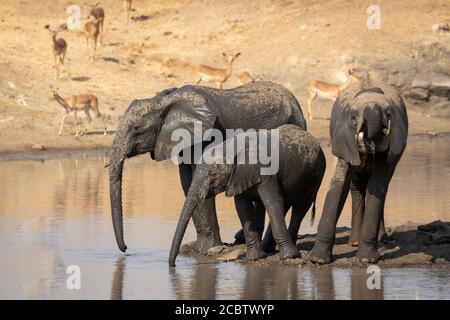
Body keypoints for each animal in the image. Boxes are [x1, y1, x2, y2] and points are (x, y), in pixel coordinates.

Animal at [109, 81, 308, 254]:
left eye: (136, 128)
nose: (125, 249)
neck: (164, 101)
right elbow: (187, 182)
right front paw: (198, 248)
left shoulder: (210, 132)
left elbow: (200, 180)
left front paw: (207, 250)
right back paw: (242, 238)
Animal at [168, 125, 324, 268]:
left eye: (212, 174)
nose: (173, 266)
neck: (232, 148)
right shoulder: (238, 177)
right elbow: (243, 208)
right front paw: (254, 258)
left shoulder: (266, 172)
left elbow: (273, 202)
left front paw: (288, 257)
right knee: (285, 206)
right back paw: (268, 248)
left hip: (316, 173)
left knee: (300, 207)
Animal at [310, 80, 408, 264]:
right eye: (354, 118)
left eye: (388, 114)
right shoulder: (344, 141)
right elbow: (338, 185)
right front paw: (318, 260)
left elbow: (376, 187)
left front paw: (367, 260)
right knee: (356, 188)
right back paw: (355, 242)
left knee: (379, 190)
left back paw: (382, 239)